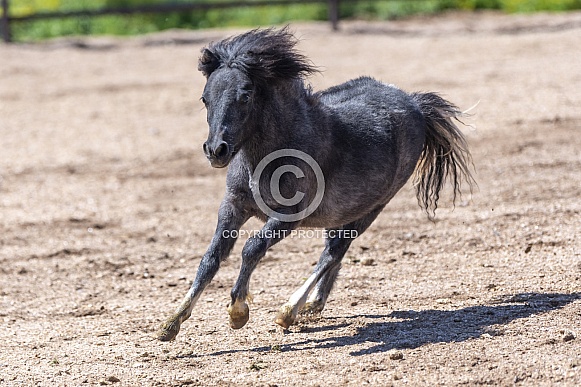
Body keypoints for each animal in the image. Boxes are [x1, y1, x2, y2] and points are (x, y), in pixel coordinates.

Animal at [156, 28, 474, 342]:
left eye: (245, 95)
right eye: (205, 98)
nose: (216, 150)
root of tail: (416, 103)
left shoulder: (289, 217)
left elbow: (252, 248)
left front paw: (238, 312)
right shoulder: (233, 205)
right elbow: (211, 258)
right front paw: (172, 323)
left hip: (371, 209)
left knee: (333, 253)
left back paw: (289, 310)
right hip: (343, 213)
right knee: (333, 254)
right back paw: (312, 304)